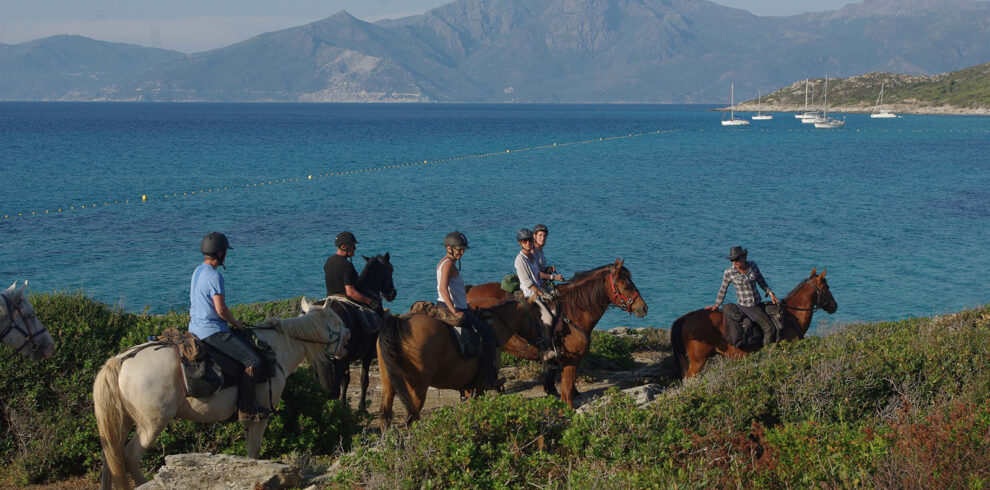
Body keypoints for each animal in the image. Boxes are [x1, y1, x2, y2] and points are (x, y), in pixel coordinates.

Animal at [93, 308, 343, 489]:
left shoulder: (248, 414)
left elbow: (250, 450)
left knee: (110, 456)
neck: (275, 349)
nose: (349, 337)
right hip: (152, 423)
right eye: (338, 324)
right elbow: (255, 449)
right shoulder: (262, 414)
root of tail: (121, 360)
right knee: (130, 456)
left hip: (123, 420)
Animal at [376, 299, 548, 428]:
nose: (544, 340)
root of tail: (400, 322)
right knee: (410, 418)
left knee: (386, 417)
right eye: (537, 315)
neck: (493, 327)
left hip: (388, 383)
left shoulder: (467, 387)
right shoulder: (479, 387)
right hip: (417, 388)